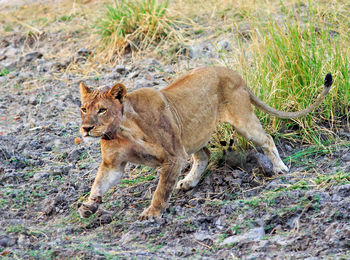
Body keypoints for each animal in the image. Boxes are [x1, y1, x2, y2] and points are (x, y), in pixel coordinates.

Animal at [78, 66, 332, 219]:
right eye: (83, 109)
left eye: (102, 110)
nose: (86, 129)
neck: (122, 130)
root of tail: (235, 74)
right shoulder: (113, 164)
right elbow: (99, 183)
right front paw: (89, 205)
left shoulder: (174, 156)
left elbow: (161, 189)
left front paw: (152, 213)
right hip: (193, 134)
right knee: (205, 156)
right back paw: (189, 182)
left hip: (242, 121)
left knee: (267, 139)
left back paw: (279, 168)